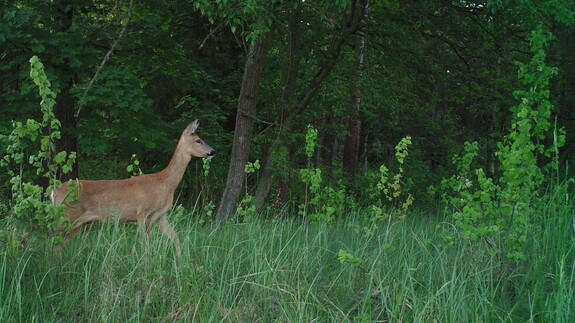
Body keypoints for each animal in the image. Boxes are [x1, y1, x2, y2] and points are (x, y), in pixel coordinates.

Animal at [50, 120, 214, 256]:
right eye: (198, 140)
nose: (212, 151)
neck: (165, 184)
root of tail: (53, 192)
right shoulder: (143, 213)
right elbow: (145, 246)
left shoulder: (161, 216)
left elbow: (176, 238)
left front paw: (181, 262)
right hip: (67, 217)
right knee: (52, 241)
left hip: (78, 224)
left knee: (58, 245)